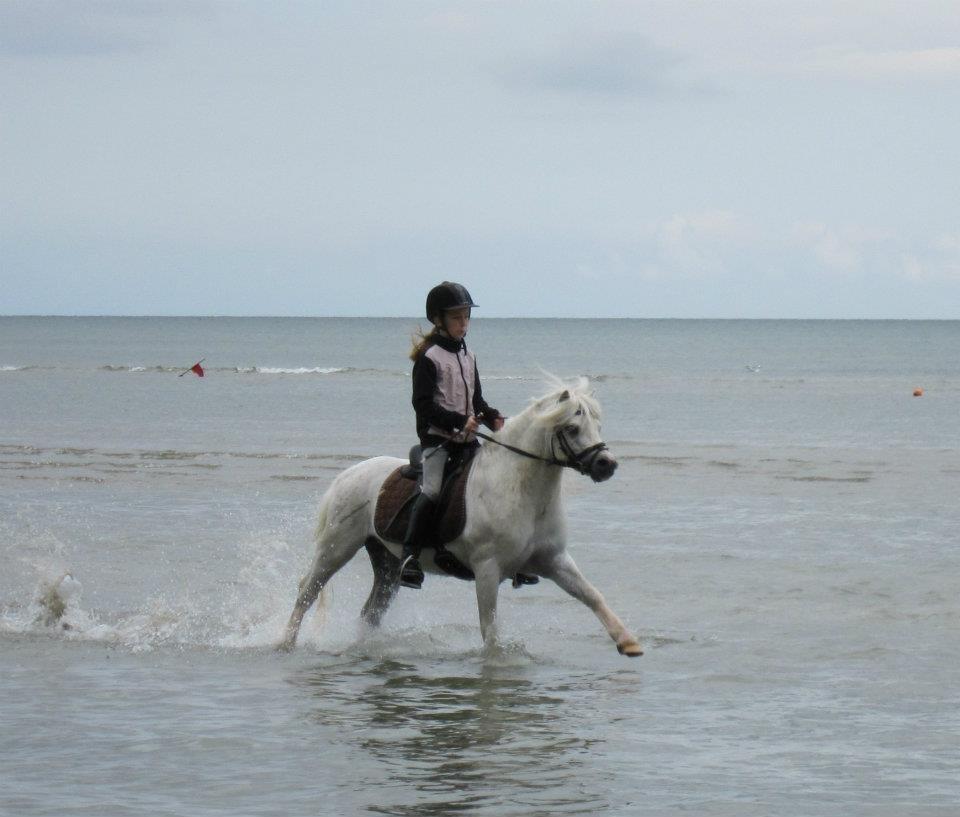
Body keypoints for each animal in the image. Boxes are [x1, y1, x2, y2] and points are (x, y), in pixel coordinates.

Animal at [278, 378, 640, 656]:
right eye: (573, 428)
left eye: (597, 425)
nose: (606, 465)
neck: (520, 490)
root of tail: (348, 475)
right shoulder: (487, 569)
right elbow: (489, 629)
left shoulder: (554, 560)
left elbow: (591, 595)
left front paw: (628, 642)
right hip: (337, 547)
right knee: (307, 591)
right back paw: (286, 644)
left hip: (387, 563)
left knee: (370, 611)